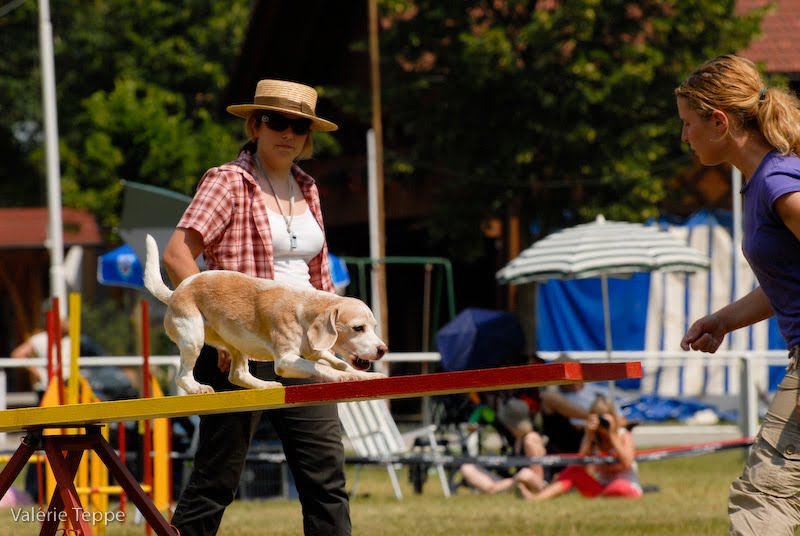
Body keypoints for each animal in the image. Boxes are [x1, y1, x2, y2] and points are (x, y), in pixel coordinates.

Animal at [143, 234, 388, 394]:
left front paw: (367, 376)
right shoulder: (286, 360)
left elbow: (338, 363)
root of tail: (175, 293)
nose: (383, 350)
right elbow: (322, 368)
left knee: (238, 375)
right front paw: (345, 377)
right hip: (193, 339)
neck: (304, 307)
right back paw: (198, 388)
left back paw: (264, 385)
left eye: (374, 327)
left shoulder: (314, 351)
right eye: (358, 328)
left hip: (235, 343)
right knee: (183, 376)